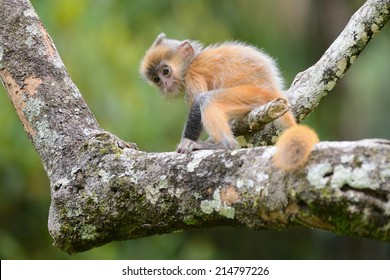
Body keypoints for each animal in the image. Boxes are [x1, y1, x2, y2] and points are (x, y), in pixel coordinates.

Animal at [139, 34, 316, 172]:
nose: (165, 84)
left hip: (253, 94)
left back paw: (224, 145)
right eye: (156, 79)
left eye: (165, 71)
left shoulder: (193, 75)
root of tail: (273, 88)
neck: (191, 62)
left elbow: (197, 101)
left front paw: (187, 142)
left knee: (207, 100)